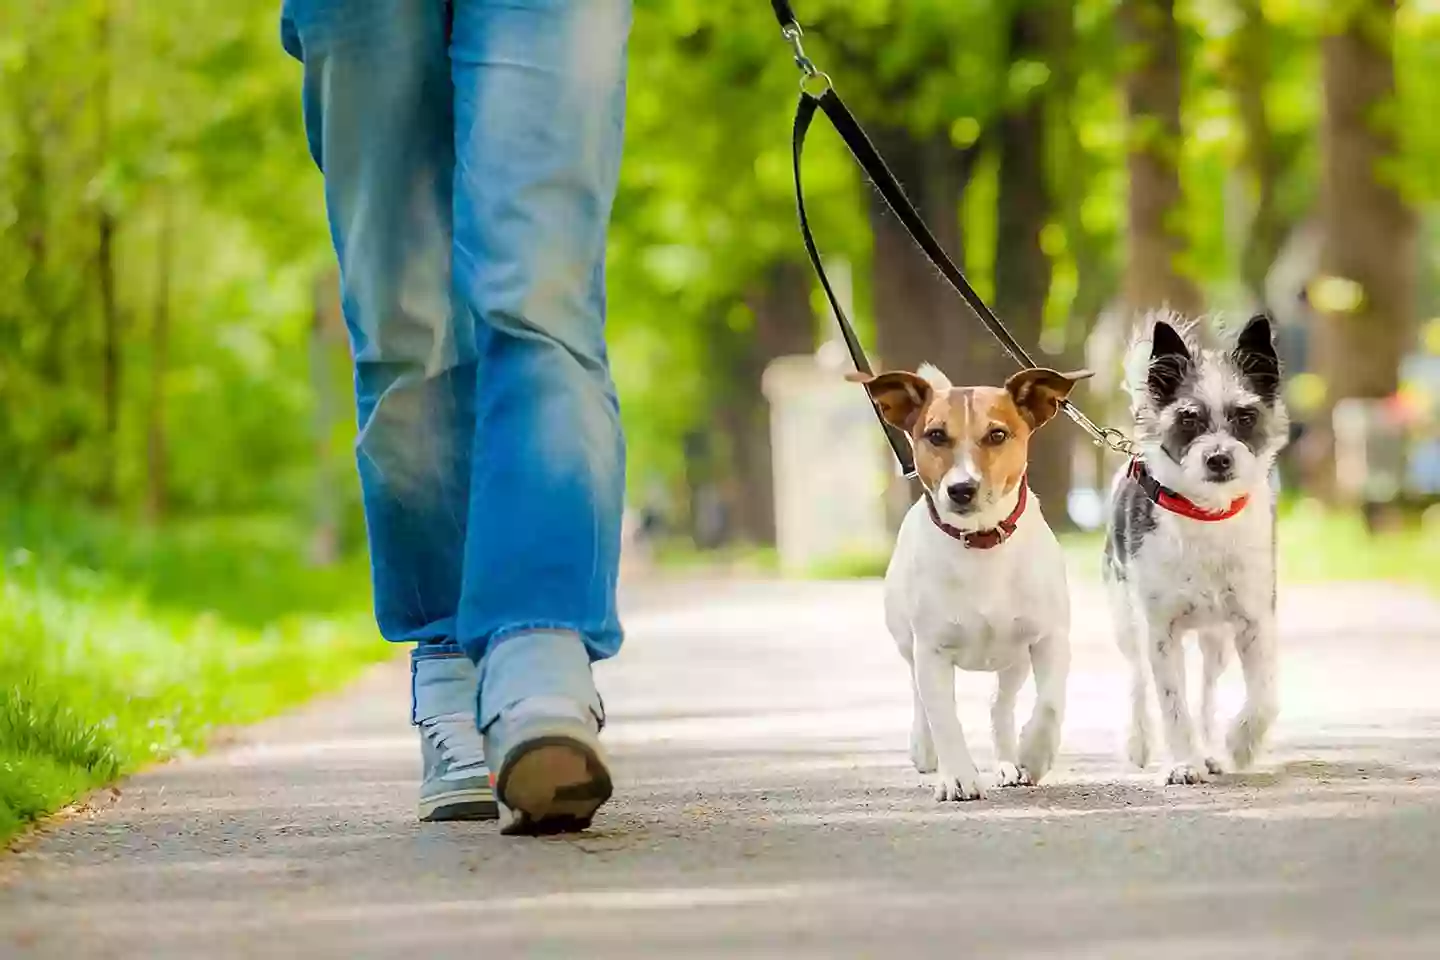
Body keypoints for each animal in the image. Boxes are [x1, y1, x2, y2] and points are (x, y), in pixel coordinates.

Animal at [852, 364, 1088, 800]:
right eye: (935, 435)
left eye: (997, 435)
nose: (962, 489)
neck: (981, 544)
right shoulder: (931, 650)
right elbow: (944, 718)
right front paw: (958, 776)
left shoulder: (1050, 639)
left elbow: (1049, 703)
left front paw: (1034, 754)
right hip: (907, 641)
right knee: (920, 696)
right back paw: (925, 748)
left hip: (1014, 659)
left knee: (1000, 703)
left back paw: (1009, 762)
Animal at [1105, 312, 1290, 782]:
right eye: (1188, 419)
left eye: (1245, 416)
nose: (1218, 458)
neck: (1206, 515)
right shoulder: (1160, 631)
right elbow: (1172, 704)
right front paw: (1182, 763)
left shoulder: (1255, 621)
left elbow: (1265, 695)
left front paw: (1240, 745)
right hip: (1126, 620)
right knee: (1138, 680)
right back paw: (1140, 741)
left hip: (1216, 639)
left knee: (1206, 690)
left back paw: (1211, 749)